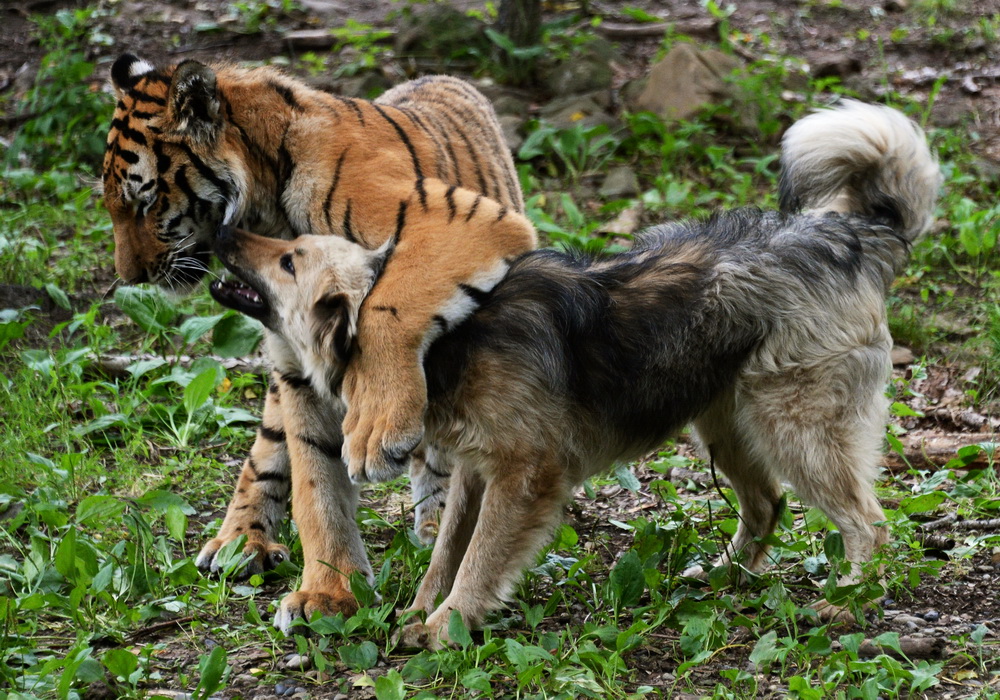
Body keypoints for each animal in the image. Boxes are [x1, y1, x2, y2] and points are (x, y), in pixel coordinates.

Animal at [102, 56, 536, 624]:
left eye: (145, 200)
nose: (129, 277)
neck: (265, 202)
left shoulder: (462, 220)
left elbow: (387, 308)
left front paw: (377, 432)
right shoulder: (296, 369)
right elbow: (315, 483)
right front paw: (330, 594)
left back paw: (432, 516)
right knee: (266, 448)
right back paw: (239, 539)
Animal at [207, 101, 940, 648]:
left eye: (291, 258)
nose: (224, 230)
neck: (442, 342)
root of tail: (849, 235)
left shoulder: (524, 475)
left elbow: (478, 560)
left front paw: (448, 627)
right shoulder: (475, 471)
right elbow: (447, 551)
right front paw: (419, 613)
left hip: (796, 430)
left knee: (868, 523)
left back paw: (848, 598)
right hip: (725, 426)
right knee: (766, 506)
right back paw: (723, 577)